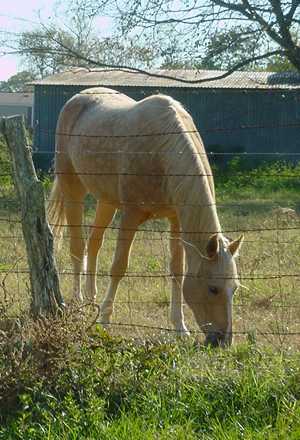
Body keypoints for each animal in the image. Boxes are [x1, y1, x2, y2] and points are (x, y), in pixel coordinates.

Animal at [48, 87, 243, 348]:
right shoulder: (131, 215)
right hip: (73, 190)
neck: (162, 149)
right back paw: (79, 304)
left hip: (106, 201)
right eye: (213, 289)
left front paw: (180, 327)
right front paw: (105, 322)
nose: (223, 341)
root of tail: (79, 97)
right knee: (78, 248)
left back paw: (91, 300)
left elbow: (177, 271)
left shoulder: (176, 220)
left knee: (94, 243)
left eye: (235, 288)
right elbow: (119, 267)